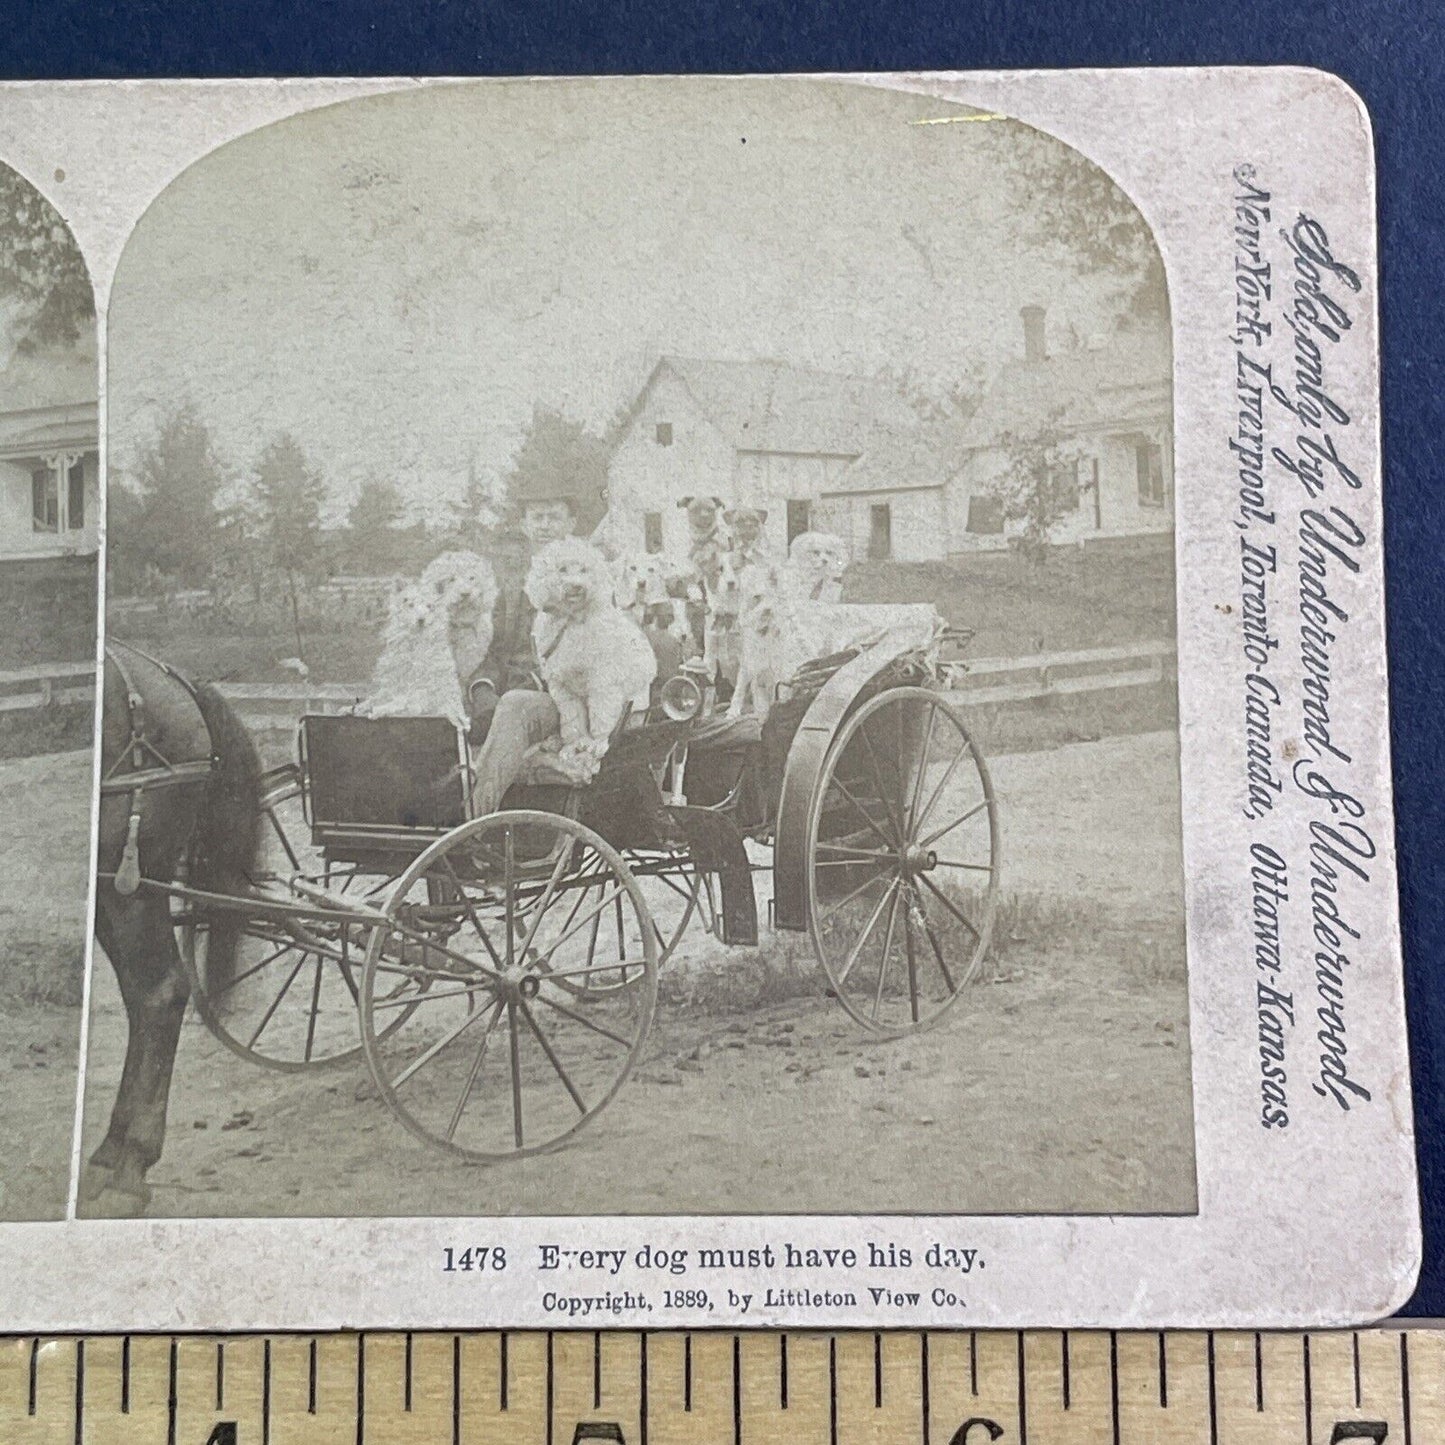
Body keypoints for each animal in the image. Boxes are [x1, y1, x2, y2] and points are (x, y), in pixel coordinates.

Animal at [86, 650, 264, 1213]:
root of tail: (176, 680)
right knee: (144, 994)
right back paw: (113, 1152)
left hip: (129, 877)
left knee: (160, 991)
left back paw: (130, 1164)